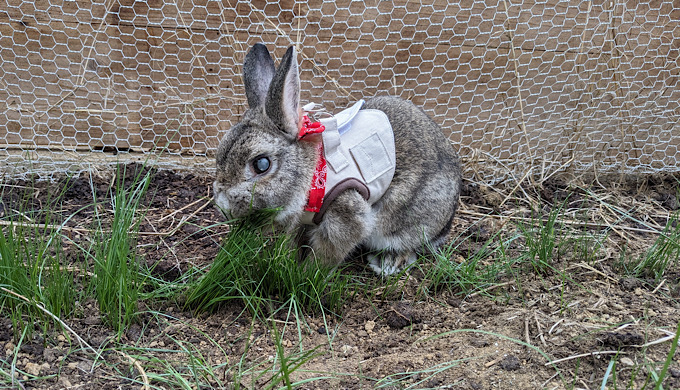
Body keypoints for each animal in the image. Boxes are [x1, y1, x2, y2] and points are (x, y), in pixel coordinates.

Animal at [214, 42, 462, 274]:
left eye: (261, 164)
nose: (222, 205)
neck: (314, 172)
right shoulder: (301, 222)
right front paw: (291, 262)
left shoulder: (345, 214)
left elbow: (327, 254)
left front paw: (306, 274)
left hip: (405, 221)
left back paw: (387, 262)